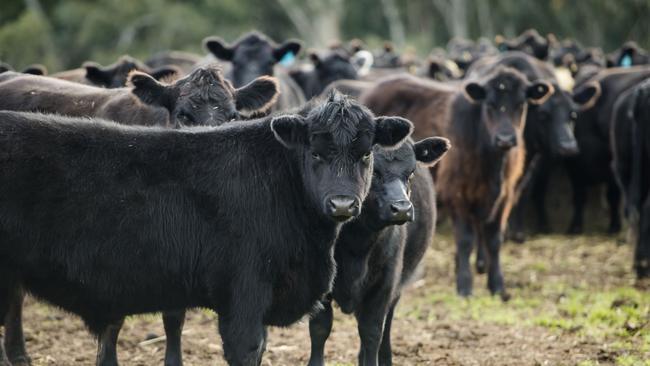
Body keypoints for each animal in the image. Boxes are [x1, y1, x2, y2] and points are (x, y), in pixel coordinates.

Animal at [306, 137, 448, 366]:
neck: (356, 242)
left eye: (411, 173)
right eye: (374, 172)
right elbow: (320, 328)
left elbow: (372, 332)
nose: (402, 208)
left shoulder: (384, 284)